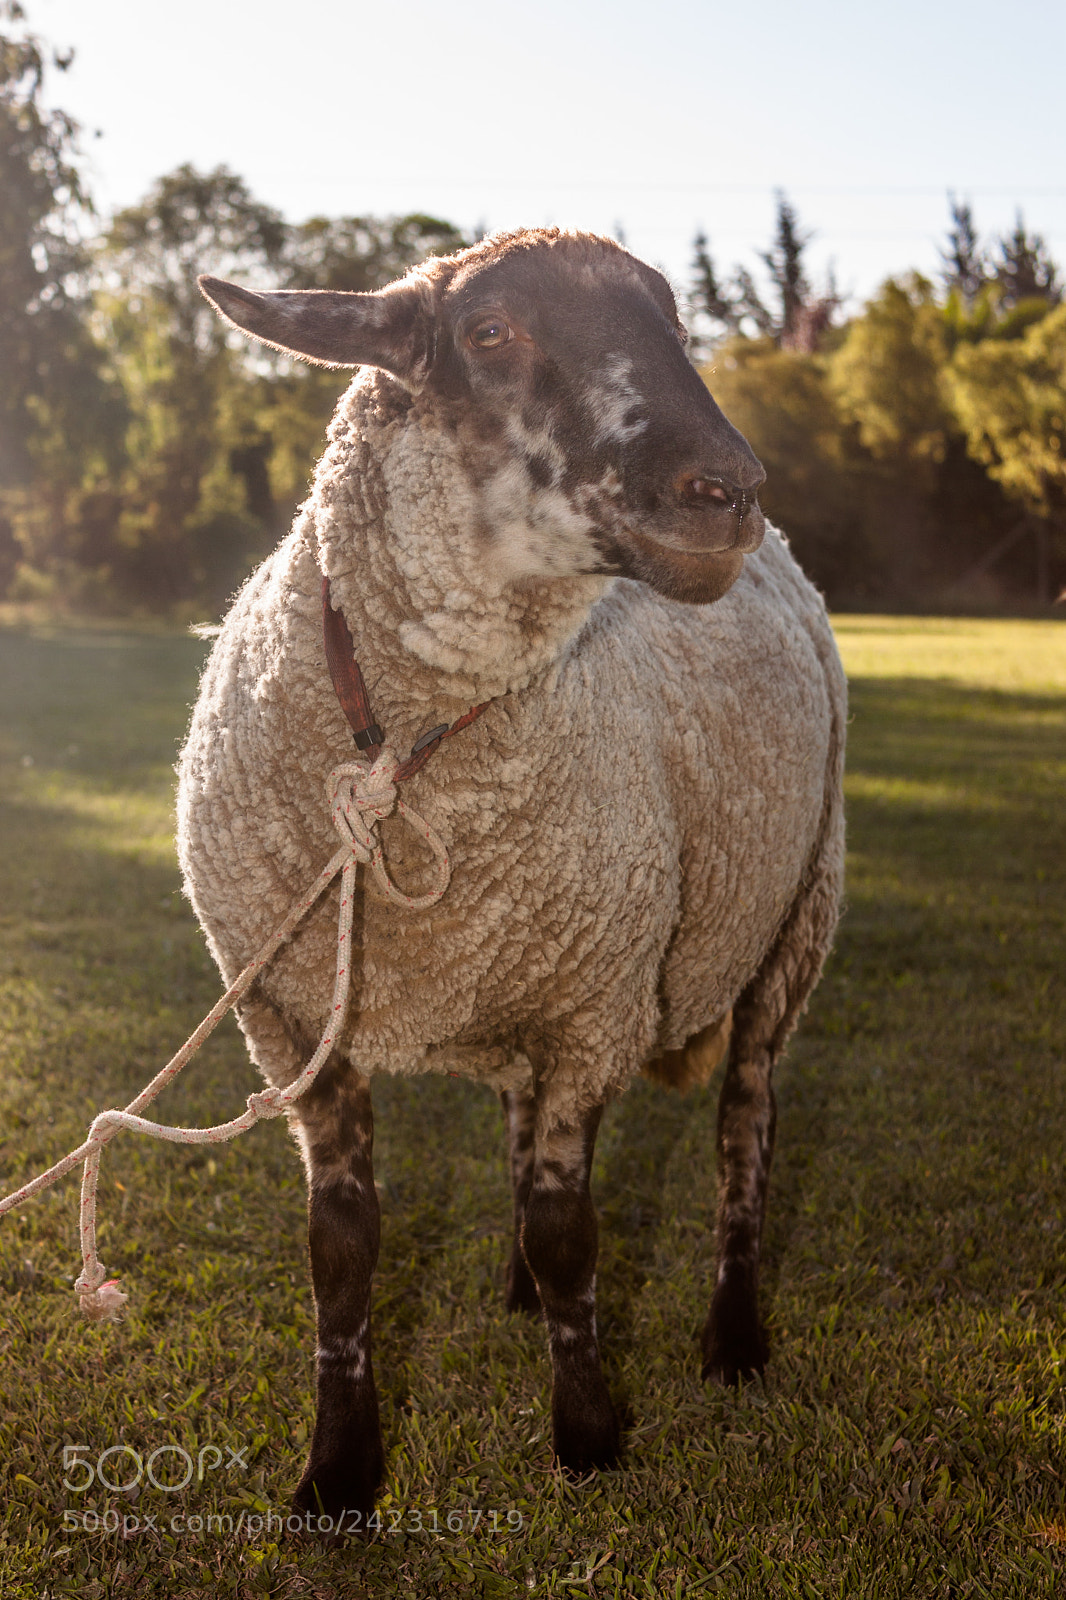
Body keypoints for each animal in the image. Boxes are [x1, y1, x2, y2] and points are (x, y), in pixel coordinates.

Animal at [179, 227, 846, 1523]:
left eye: (676, 321)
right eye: (488, 332)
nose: (727, 493)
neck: (406, 763)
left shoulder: (592, 1002)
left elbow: (568, 1226)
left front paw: (585, 1431)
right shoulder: (293, 1022)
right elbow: (340, 1246)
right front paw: (338, 1470)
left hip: (790, 922)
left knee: (744, 1129)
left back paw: (732, 1334)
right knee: (521, 1115)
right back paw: (522, 1297)